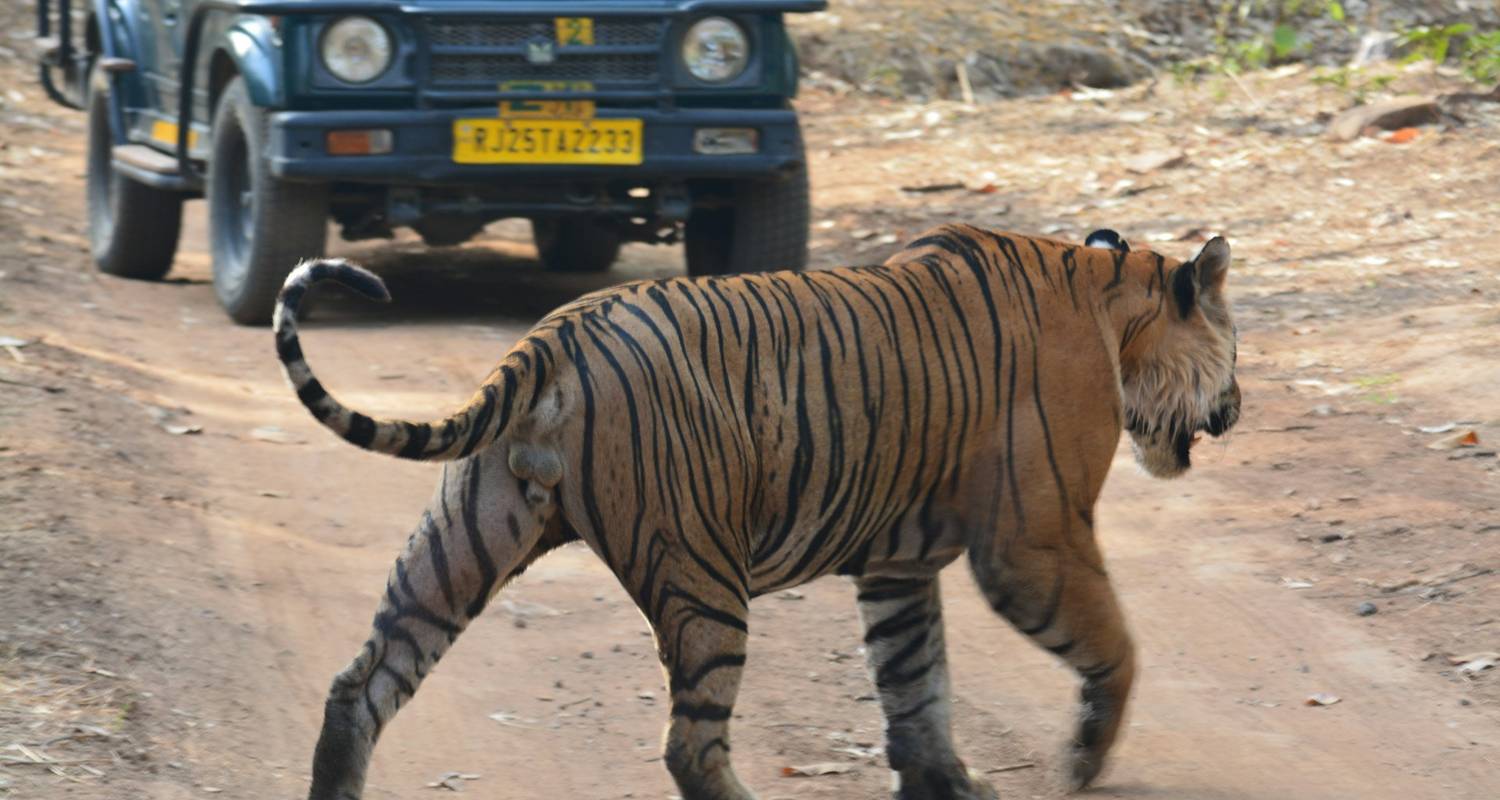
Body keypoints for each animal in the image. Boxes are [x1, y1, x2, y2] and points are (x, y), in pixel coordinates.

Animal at [282, 225, 1242, 798]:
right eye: (1234, 349)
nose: (1237, 408)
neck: (1110, 298)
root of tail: (553, 335)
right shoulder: (1036, 539)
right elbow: (1115, 646)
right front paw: (1083, 758)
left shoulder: (897, 565)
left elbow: (916, 680)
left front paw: (948, 783)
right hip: (702, 570)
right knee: (691, 744)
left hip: (462, 540)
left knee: (360, 686)